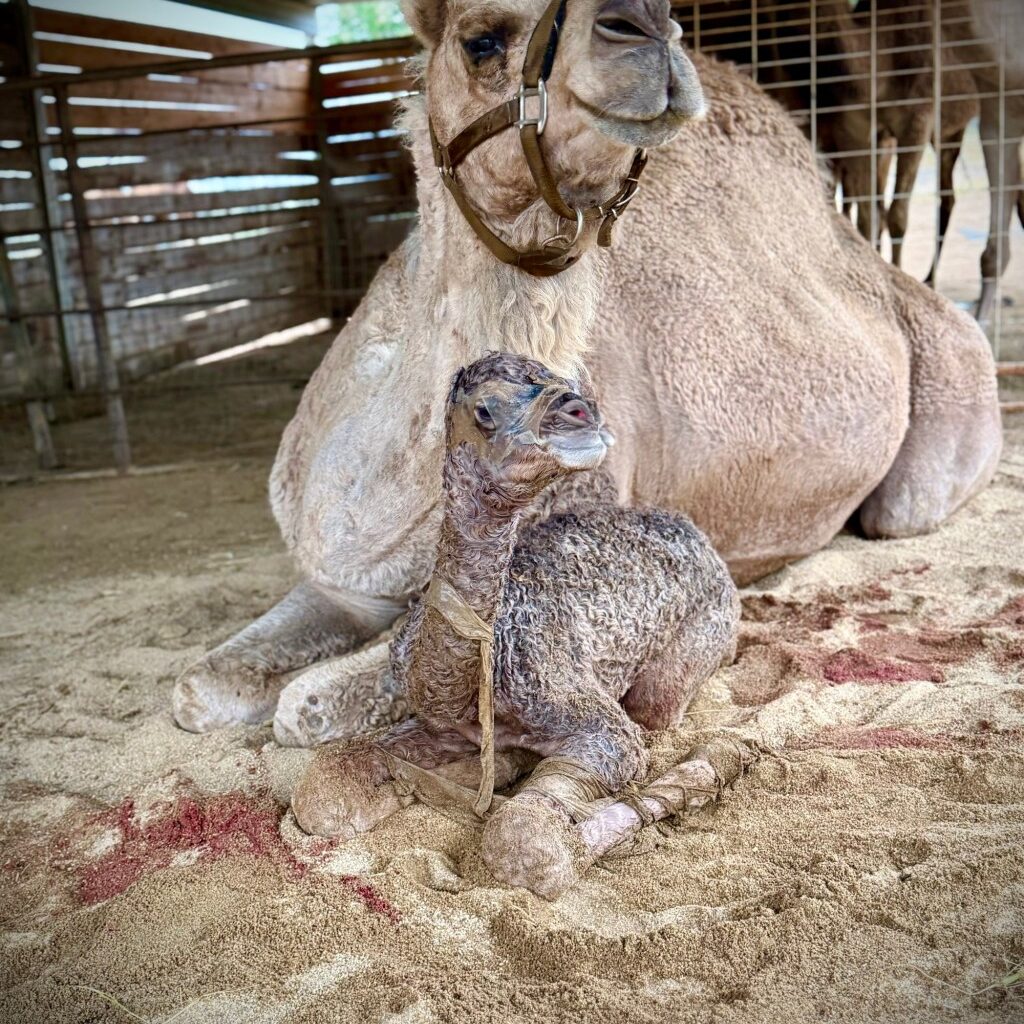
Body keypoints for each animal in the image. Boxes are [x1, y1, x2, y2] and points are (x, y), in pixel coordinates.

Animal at [172, 0, 1001, 746]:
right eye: (481, 40)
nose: (648, 34)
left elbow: (305, 705)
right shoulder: (345, 578)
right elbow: (199, 686)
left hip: (944, 388)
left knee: (902, 509)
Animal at [291, 352, 740, 900]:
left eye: (571, 383)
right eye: (485, 409)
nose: (579, 412)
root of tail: (694, 530)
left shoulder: (596, 722)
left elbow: (527, 839)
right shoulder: (445, 723)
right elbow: (320, 789)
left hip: (706, 630)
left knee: (657, 708)